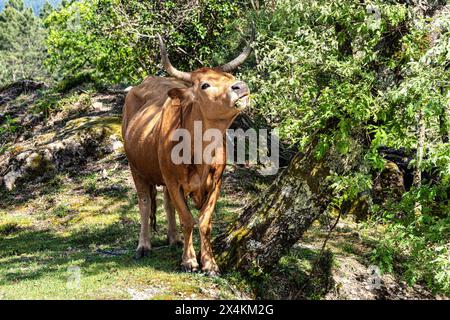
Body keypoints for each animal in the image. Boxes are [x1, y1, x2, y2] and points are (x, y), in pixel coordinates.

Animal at [121, 35, 251, 276]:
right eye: (205, 84)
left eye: (230, 77)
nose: (241, 86)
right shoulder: (173, 181)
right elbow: (188, 219)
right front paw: (189, 261)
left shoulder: (216, 181)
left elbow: (204, 222)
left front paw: (209, 263)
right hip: (137, 169)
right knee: (144, 203)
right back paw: (143, 246)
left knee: (166, 203)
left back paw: (174, 239)